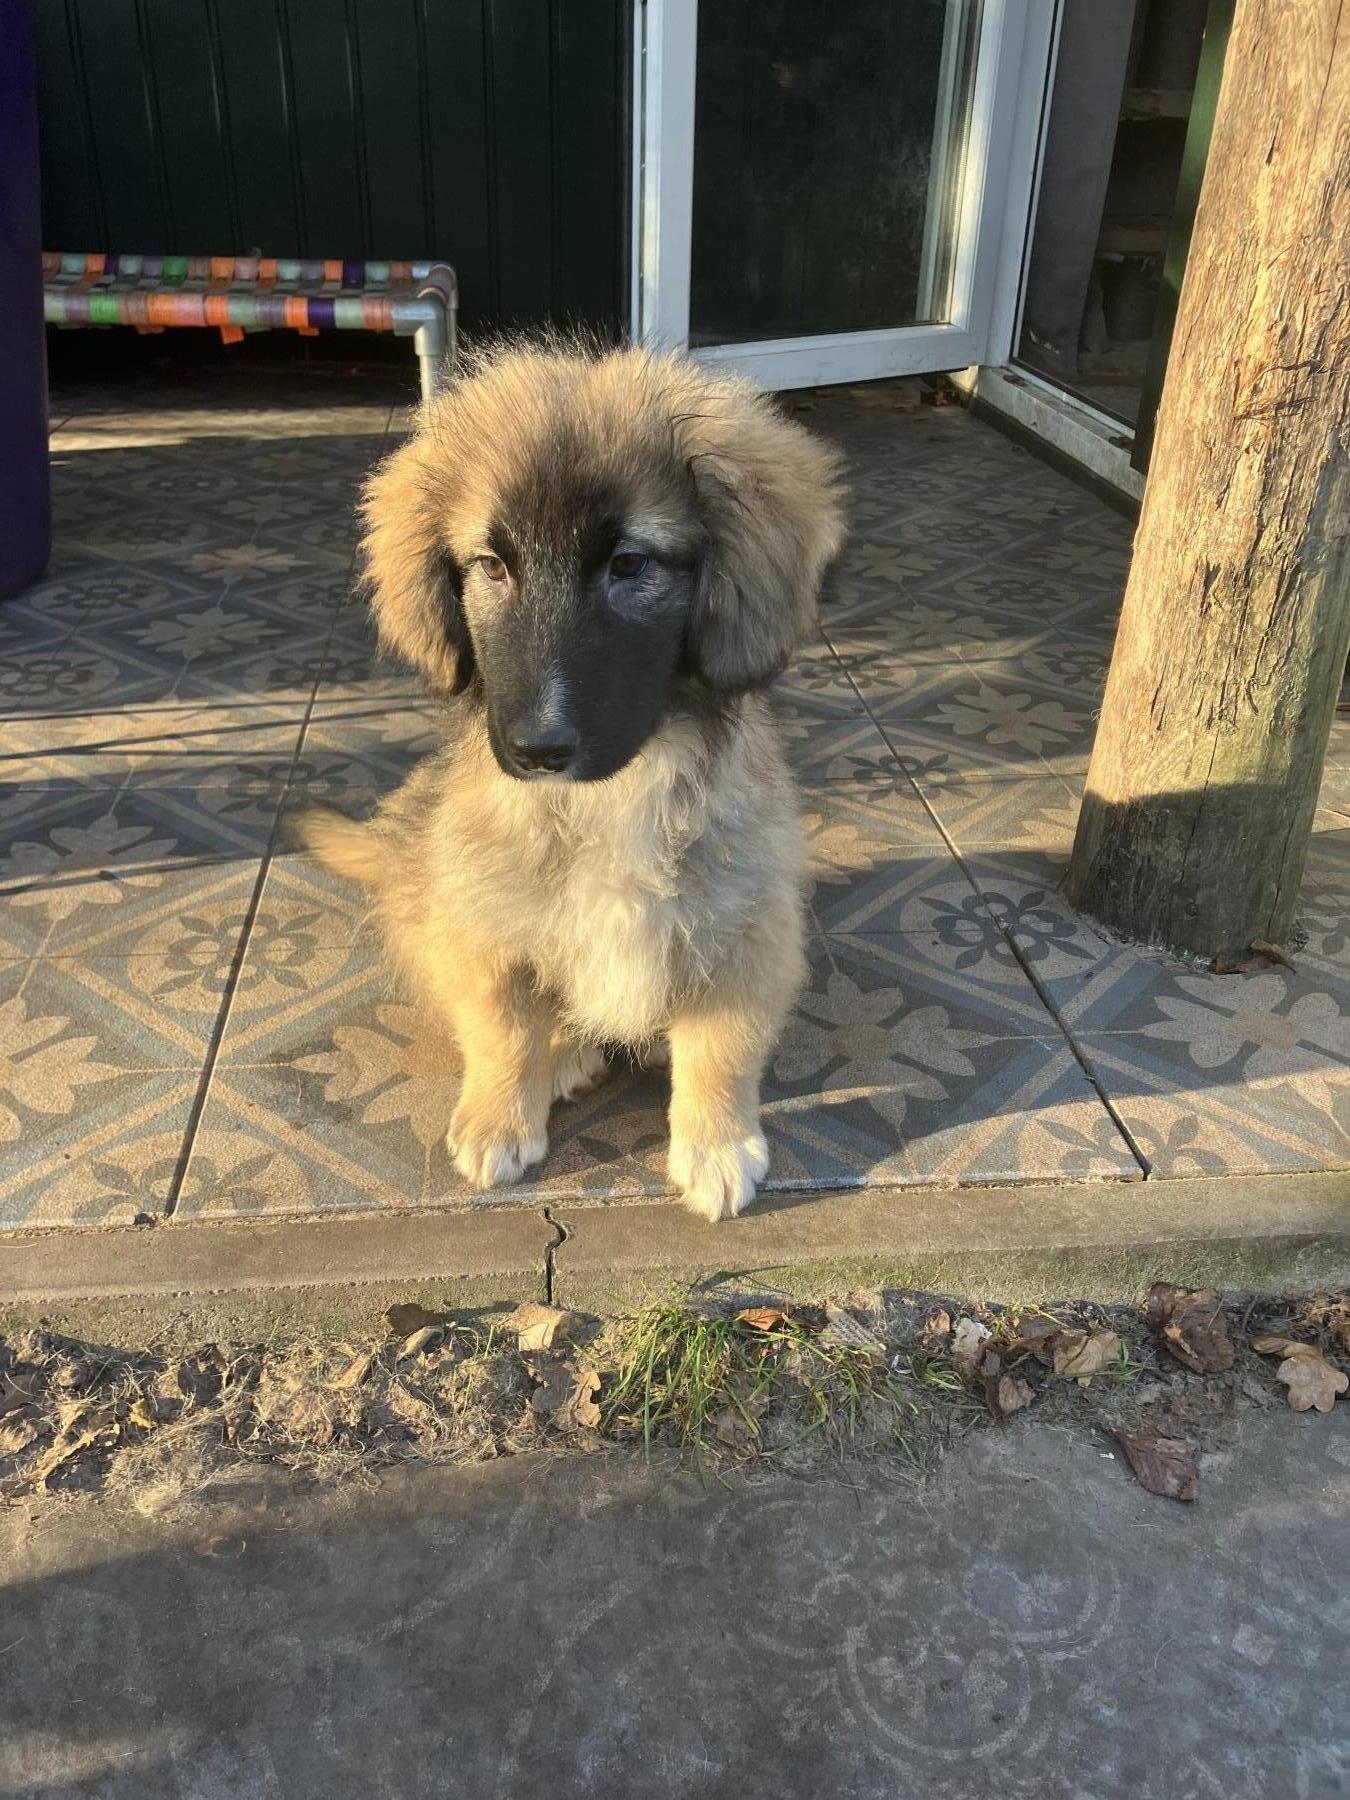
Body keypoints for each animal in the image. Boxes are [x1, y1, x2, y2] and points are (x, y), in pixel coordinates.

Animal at [302, 338, 845, 1220]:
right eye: (492, 565)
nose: (534, 749)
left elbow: (721, 1047)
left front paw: (717, 1142)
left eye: (628, 564)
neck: (605, 802)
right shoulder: (482, 924)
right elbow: (499, 1028)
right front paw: (499, 1113)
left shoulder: (745, 926)